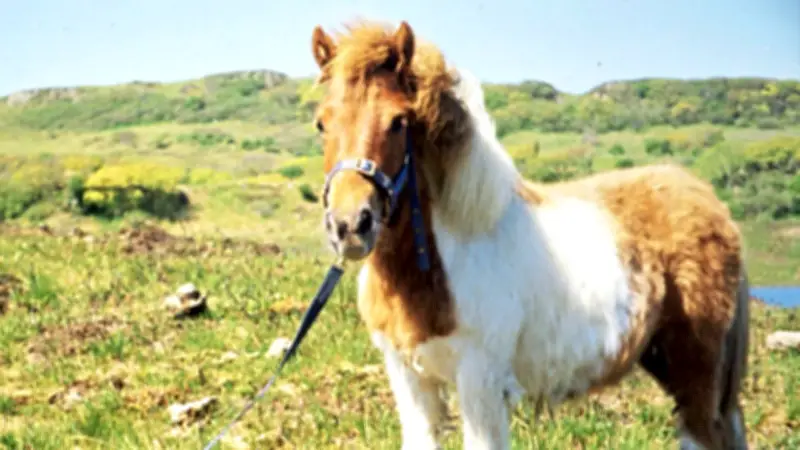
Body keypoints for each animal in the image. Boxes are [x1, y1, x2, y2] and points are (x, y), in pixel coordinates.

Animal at [309, 20, 750, 450]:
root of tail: (712, 202)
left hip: (695, 375)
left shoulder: (481, 382)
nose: (350, 225)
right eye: (321, 123)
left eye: (399, 122)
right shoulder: (409, 377)